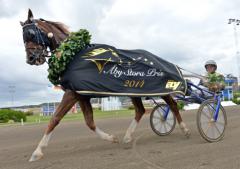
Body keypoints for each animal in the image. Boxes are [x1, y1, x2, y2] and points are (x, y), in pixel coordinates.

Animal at [20, 9, 189, 162]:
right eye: (23, 37)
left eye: (31, 33)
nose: (31, 59)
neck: (71, 56)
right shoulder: (81, 95)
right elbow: (89, 122)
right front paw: (111, 138)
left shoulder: (71, 92)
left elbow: (55, 119)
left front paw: (37, 151)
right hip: (133, 90)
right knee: (140, 110)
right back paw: (128, 137)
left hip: (161, 87)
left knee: (172, 104)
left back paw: (184, 129)